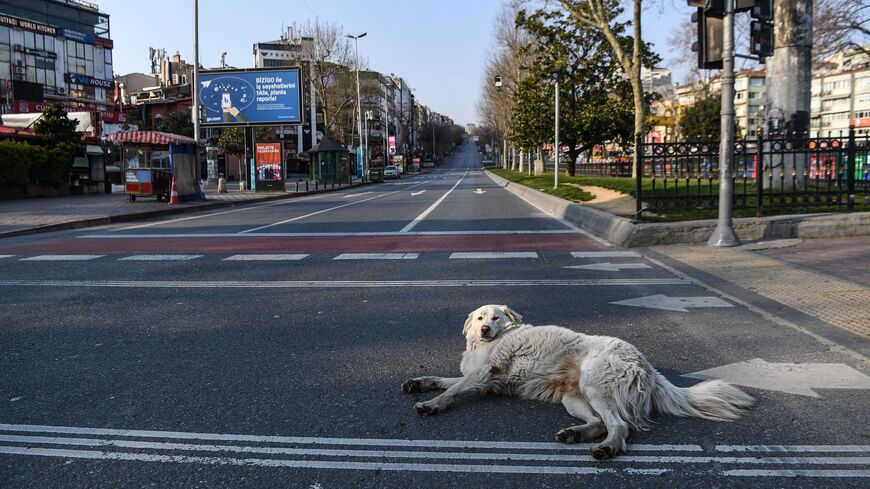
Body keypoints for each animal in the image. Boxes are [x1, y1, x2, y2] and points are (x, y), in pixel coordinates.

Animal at [406, 304, 752, 460]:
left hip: (594, 385)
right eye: (479, 319)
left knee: (618, 425)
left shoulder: (482, 376)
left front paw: (431, 405)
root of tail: (648, 366)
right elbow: (446, 380)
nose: (485, 330)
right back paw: (574, 434)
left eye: (495, 318)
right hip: (573, 398)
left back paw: (606, 449)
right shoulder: (480, 379)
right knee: (598, 422)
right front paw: (419, 383)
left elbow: (453, 389)